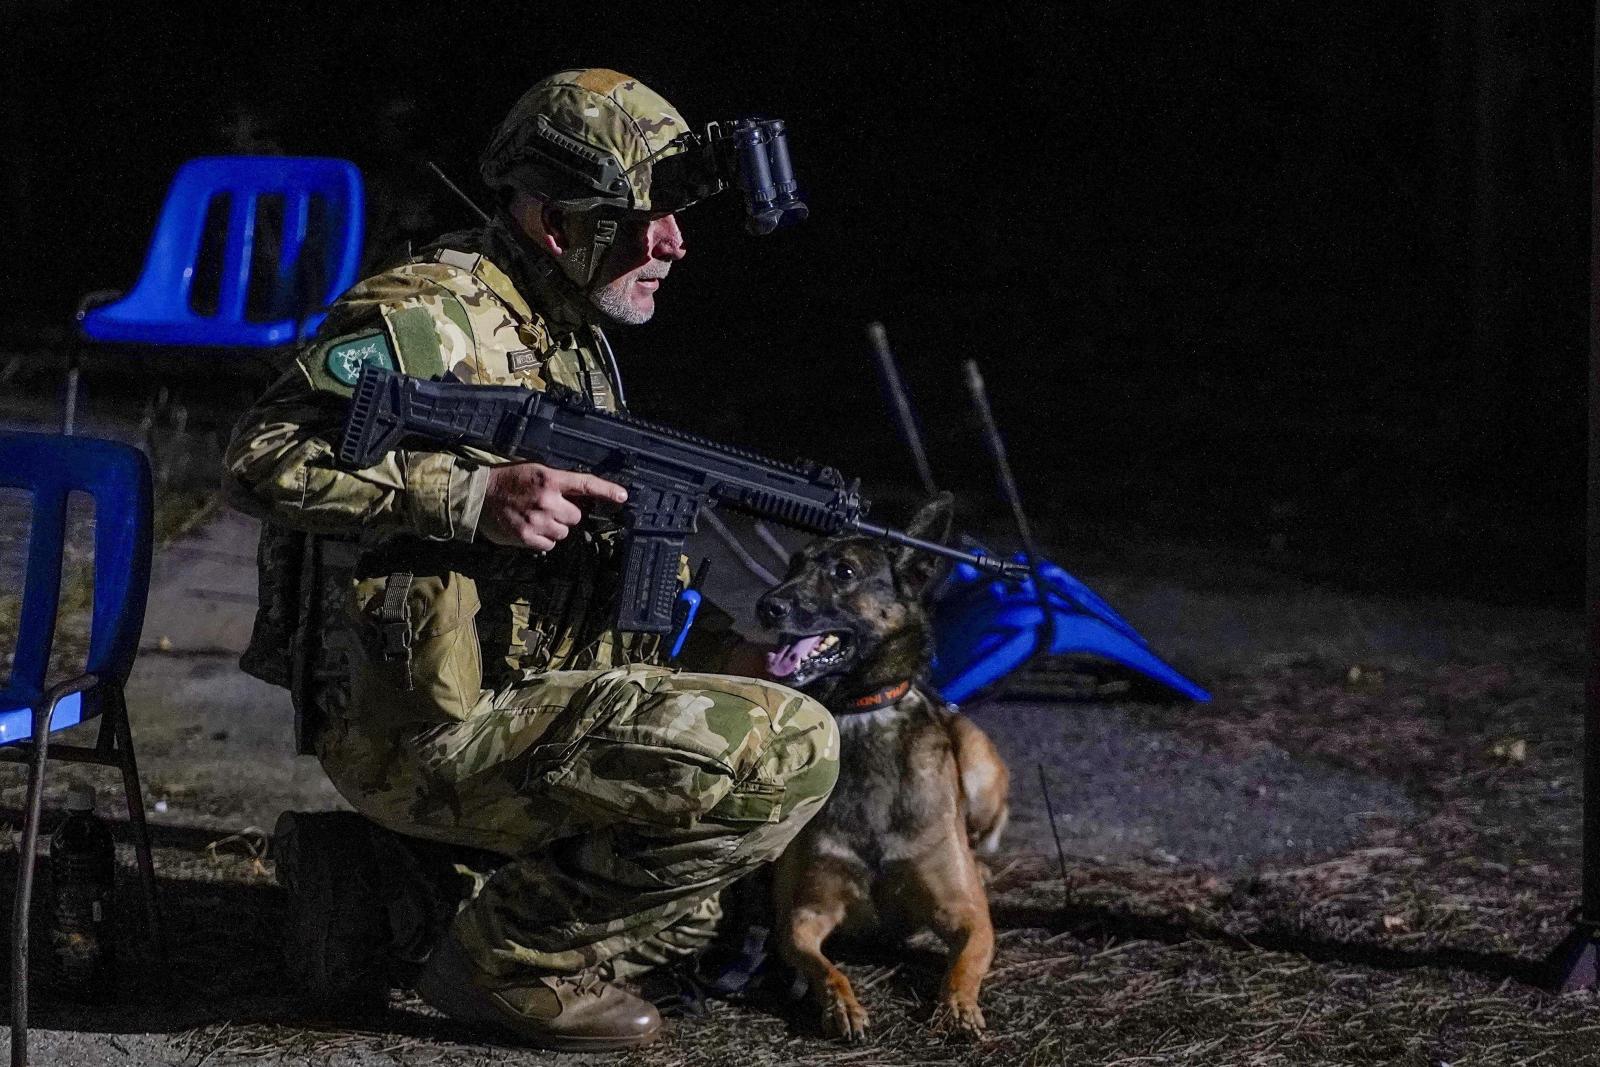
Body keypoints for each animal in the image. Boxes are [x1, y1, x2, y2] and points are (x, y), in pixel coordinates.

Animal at [755, 492, 1010, 1041]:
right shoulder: (804, 913)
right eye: (793, 564)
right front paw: (842, 1006)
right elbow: (824, 966)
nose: (766, 605)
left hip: (977, 760)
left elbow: (964, 964)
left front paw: (958, 1007)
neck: (862, 711)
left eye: (844, 571)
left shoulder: (967, 914)